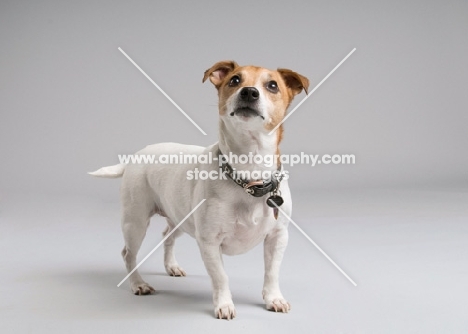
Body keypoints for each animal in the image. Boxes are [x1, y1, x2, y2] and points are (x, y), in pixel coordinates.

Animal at [90, 61, 310, 320]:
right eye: (235, 80)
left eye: (272, 85)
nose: (249, 92)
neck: (248, 177)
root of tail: (135, 157)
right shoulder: (209, 242)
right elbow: (221, 277)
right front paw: (224, 304)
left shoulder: (277, 237)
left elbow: (272, 272)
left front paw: (274, 298)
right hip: (135, 223)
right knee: (128, 253)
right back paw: (138, 283)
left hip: (180, 219)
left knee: (166, 236)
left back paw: (171, 266)